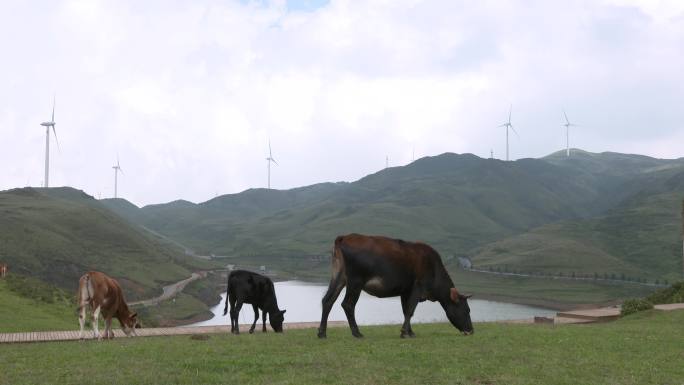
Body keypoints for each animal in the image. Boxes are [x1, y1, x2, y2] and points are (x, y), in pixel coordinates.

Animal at [318, 232, 472, 338]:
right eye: (466, 310)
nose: (471, 330)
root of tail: (344, 237)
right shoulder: (417, 287)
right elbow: (410, 310)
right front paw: (405, 333)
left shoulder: (405, 291)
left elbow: (405, 311)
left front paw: (410, 332)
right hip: (355, 281)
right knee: (348, 304)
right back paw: (357, 333)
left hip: (339, 278)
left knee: (327, 300)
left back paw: (322, 333)